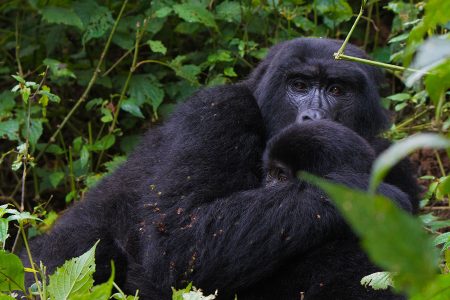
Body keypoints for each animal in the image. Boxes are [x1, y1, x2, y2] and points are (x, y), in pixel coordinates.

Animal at [24, 38, 418, 298]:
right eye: (299, 85)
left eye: (337, 90)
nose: (314, 116)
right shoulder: (216, 110)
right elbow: (180, 243)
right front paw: (367, 197)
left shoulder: (393, 154)